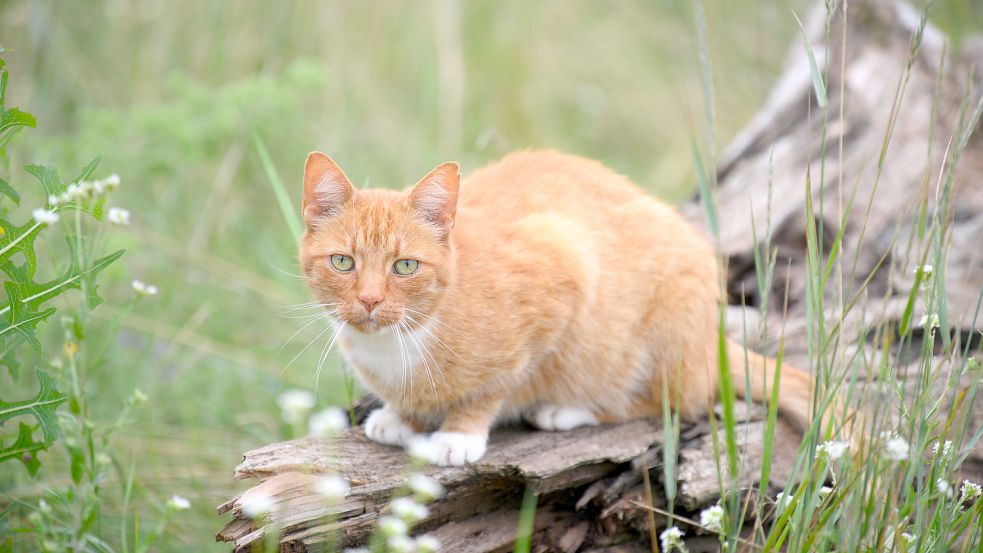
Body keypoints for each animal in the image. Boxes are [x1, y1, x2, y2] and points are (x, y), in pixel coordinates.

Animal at [304, 149, 828, 464]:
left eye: (406, 266)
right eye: (343, 262)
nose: (370, 300)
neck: (398, 341)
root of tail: (709, 341)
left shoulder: (562, 264)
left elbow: (496, 384)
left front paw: (460, 433)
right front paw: (402, 415)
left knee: (671, 401)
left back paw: (569, 410)